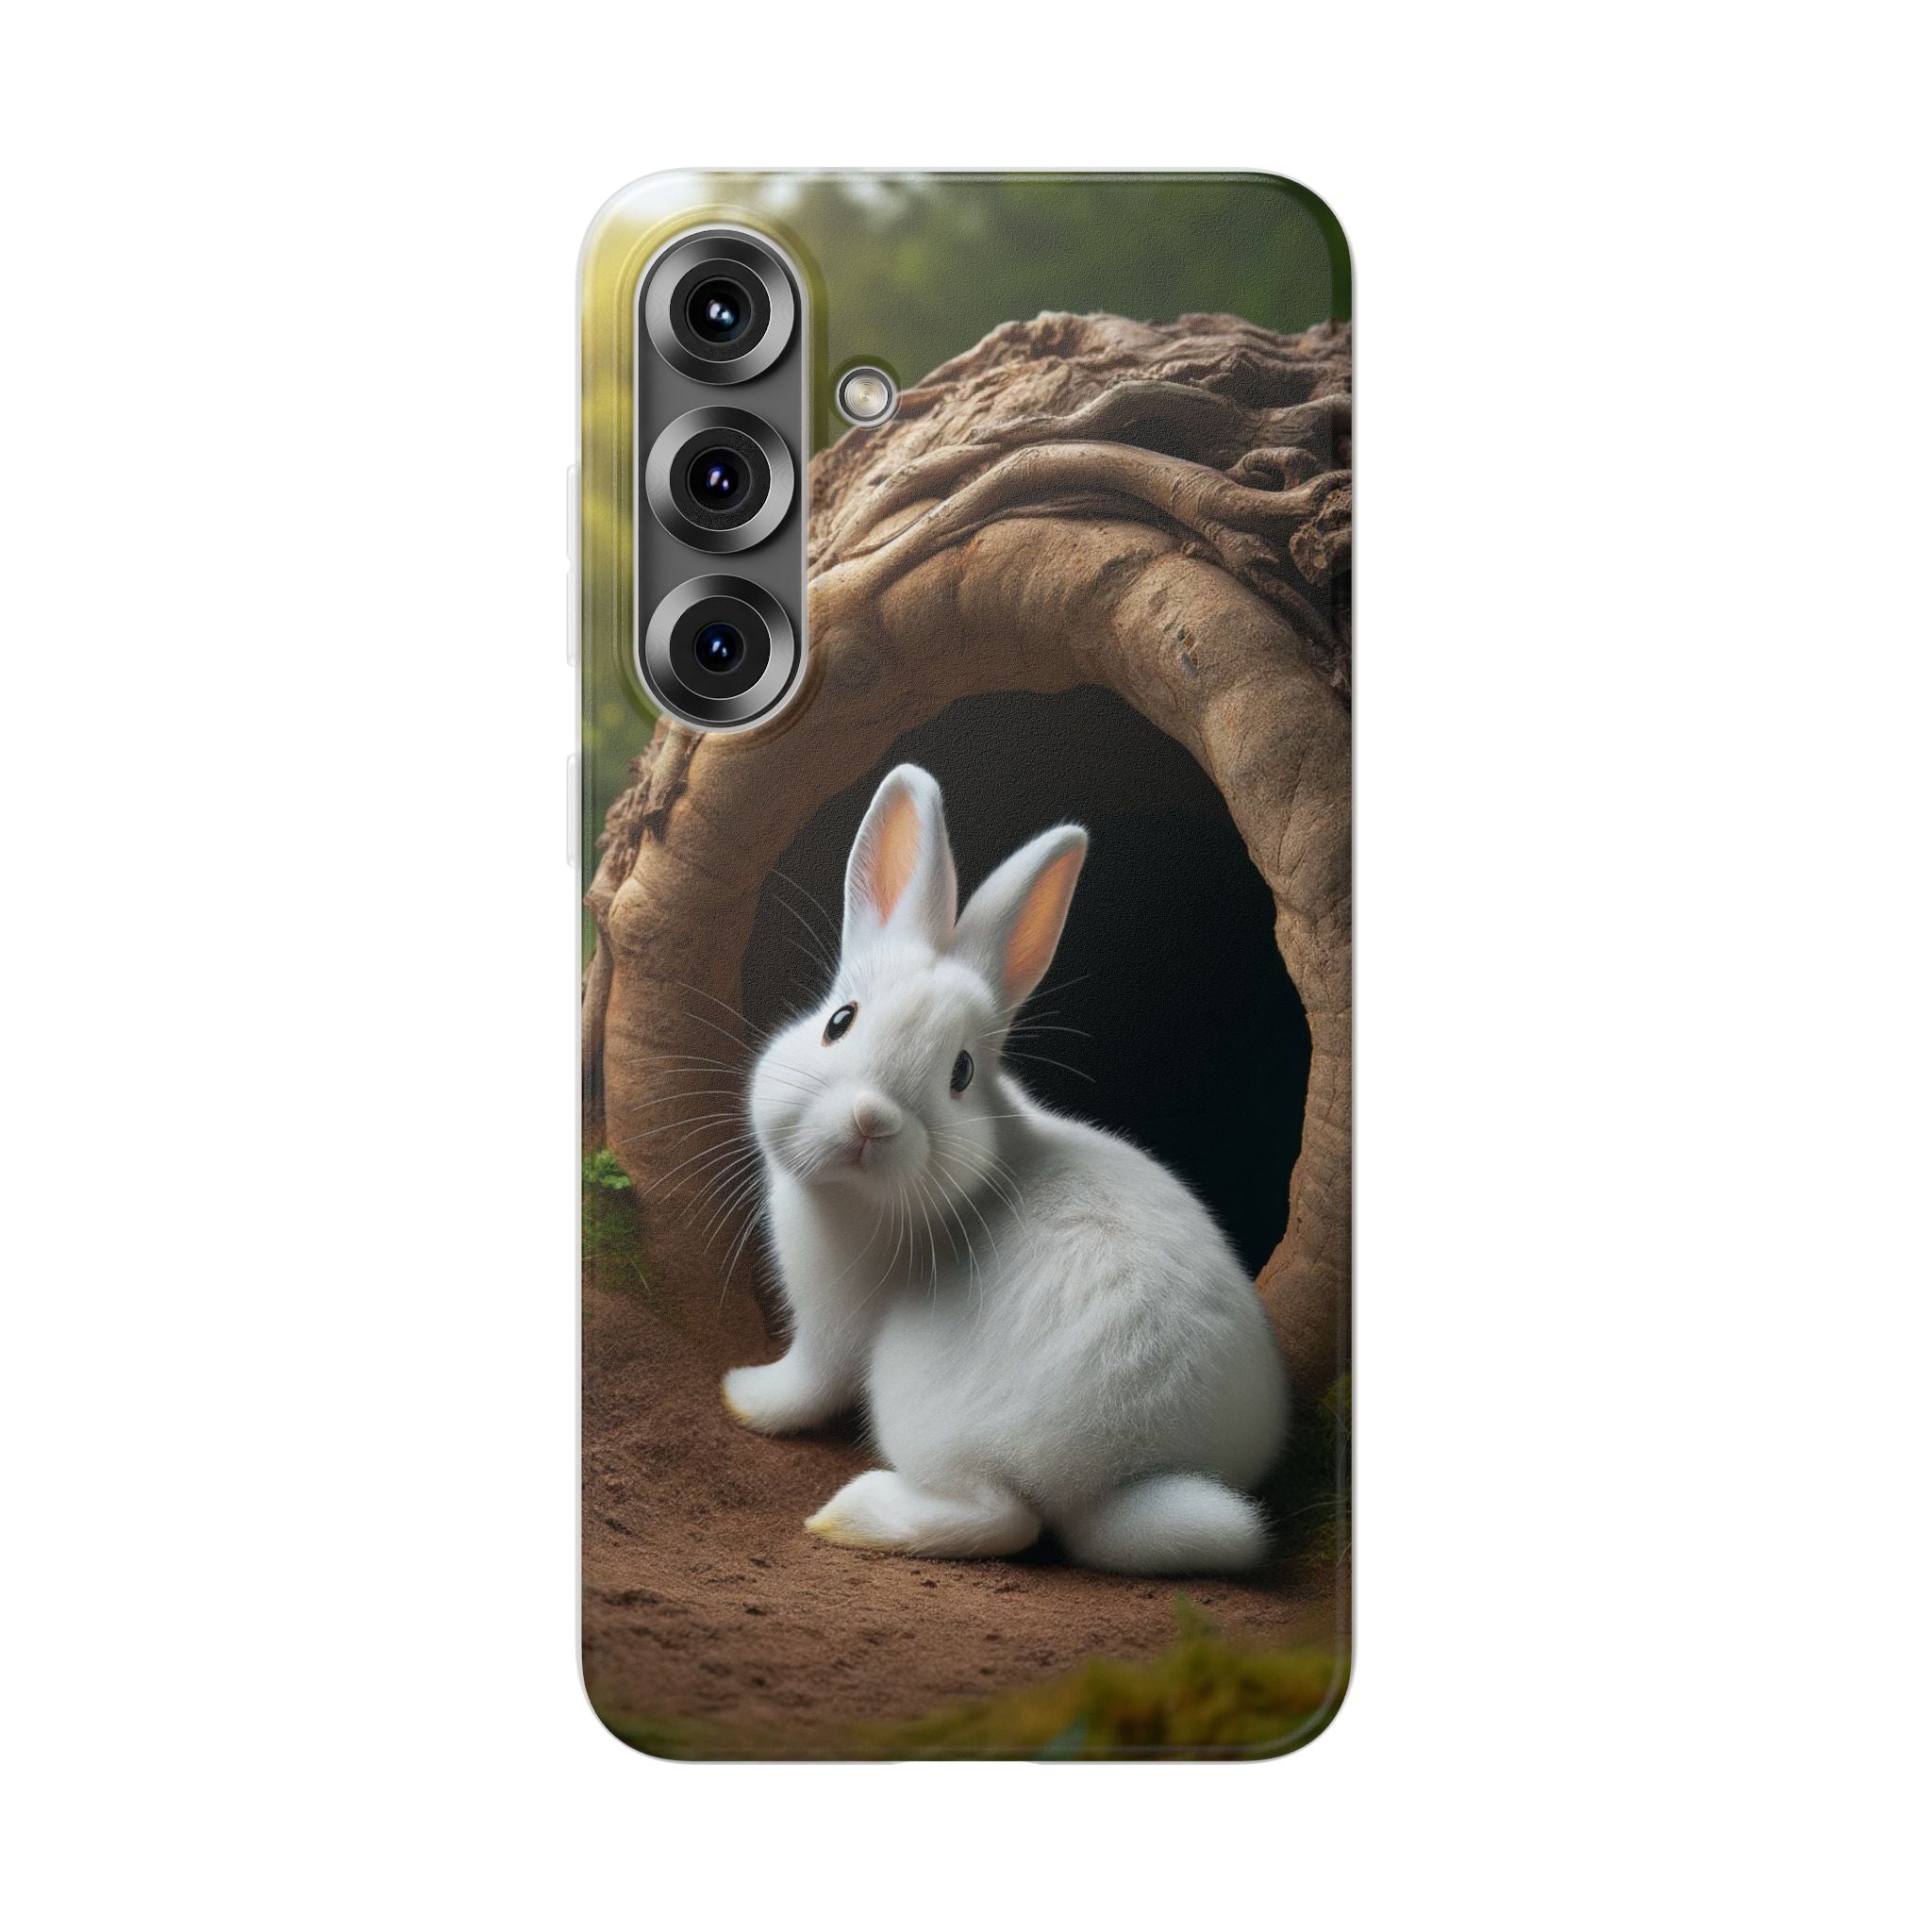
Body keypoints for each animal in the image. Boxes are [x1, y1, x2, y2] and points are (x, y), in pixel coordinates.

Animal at [722, 763, 1289, 1573]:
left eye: (960, 1072)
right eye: (840, 1022)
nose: (871, 1120)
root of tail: (1120, 1477)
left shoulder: (830, 1329)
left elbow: (804, 1385)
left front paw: (742, 1394)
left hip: (923, 1407)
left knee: (1002, 1519)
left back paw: (847, 1515)